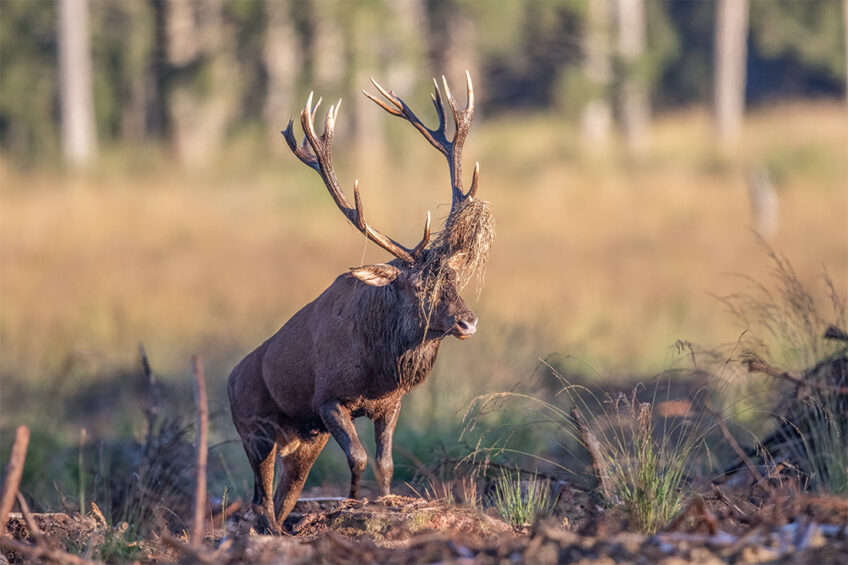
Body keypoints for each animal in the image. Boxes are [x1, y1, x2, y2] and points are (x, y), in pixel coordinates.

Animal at [227, 72, 494, 533]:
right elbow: (359, 457)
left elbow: (385, 464)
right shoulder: (328, 400)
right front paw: (352, 505)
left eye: (454, 277)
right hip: (255, 429)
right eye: (418, 286)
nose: (468, 321)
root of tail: (230, 379)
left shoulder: (390, 403)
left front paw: (383, 503)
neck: (378, 369)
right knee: (260, 502)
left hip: (303, 440)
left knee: (280, 497)